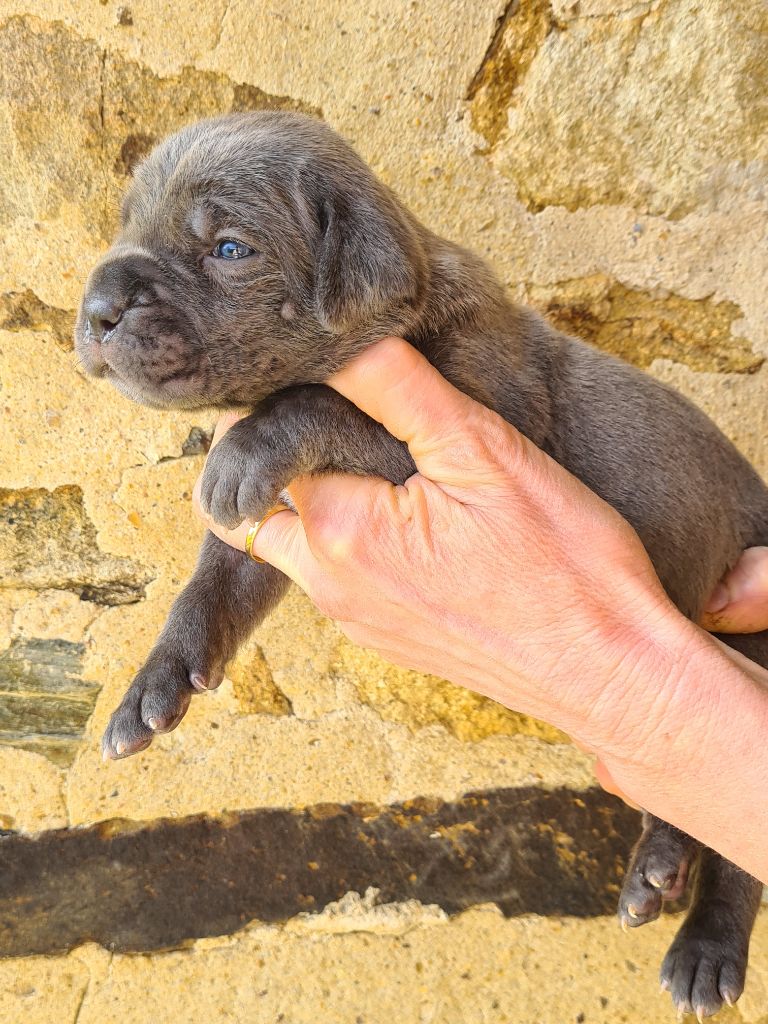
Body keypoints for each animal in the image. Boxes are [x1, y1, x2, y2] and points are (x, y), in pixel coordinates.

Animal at [73, 110, 768, 1015]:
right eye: (124, 226)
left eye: (229, 248)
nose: (97, 308)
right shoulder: (279, 520)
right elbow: (211, 587)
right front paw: (153, 685)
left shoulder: (482, 424)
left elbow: (319, 402)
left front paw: (250, 442)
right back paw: (656, 868)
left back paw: (704, 949)